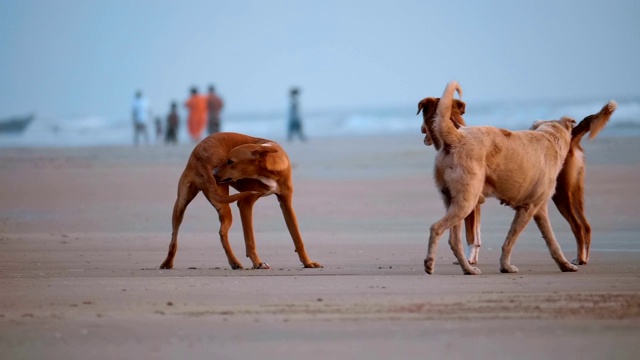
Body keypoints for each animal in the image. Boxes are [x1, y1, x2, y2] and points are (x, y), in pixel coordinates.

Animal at [160, 132, 320, 270]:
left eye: (230, 161)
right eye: (226, 160)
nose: (214, 172)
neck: (270, 168)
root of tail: (202, 157)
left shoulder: (286, 204)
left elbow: (297, 237)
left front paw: (308, 262)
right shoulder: (245, 204)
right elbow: (250, 240)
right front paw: (258, 263)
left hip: (184, 204)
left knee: (175, 237)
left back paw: (168, 263)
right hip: (204, 201)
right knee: (218, 233)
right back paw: (234, 262)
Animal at [418, 97, 616, 266]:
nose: (421, 131)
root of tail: (572, 135)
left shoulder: (473, 203)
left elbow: (471, 235)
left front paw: (469, 259)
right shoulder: (475, 202)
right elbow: (476, 234)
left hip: (561, 194)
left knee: (578, 226)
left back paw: (579, 258)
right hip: (572, 191)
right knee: (586, 226)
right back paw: (583, 258)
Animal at [422, 80, 576, 274]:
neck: (550, 136)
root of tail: (456, 136)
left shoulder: (539, 210)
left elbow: (552, 241)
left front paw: (565, 265)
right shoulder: (529, 208)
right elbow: (510, 241)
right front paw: (506, 266)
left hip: (453, 201)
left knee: (454, 240)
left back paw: (468, 269)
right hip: (467, 201)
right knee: (436, 228)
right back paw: (430, 263)